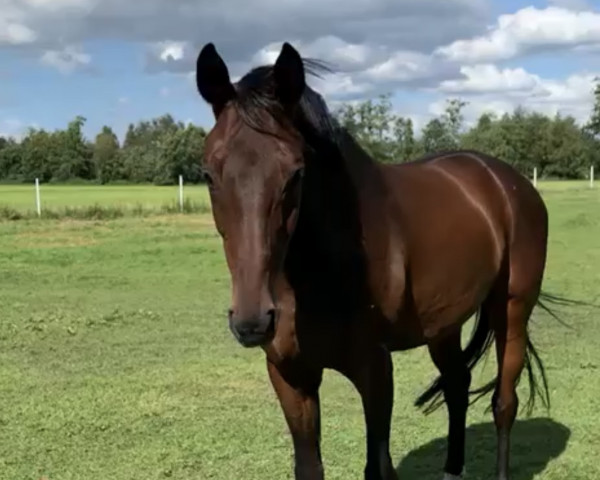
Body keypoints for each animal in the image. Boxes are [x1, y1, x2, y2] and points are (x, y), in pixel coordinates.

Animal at [195, 42, 556, 480]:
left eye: (296, 173)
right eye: (208, 174)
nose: (252, 322)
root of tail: (509, 181)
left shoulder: (376, 369)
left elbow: (378, 466)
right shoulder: (291, 374)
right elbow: (309, 466)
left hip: (512, 312)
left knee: (504, 403)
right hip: (444, 324)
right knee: (457, 382)